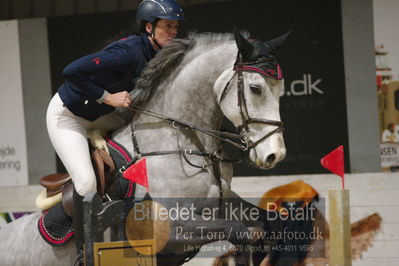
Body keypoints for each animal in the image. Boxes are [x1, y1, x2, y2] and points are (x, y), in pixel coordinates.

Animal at [0, 30, 288, 264]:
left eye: (282, 90)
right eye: (256, 88)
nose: (275, 154)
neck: (181, 142)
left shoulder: (224, 202)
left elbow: (271, 223)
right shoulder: (167, 228)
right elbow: (237, 230)